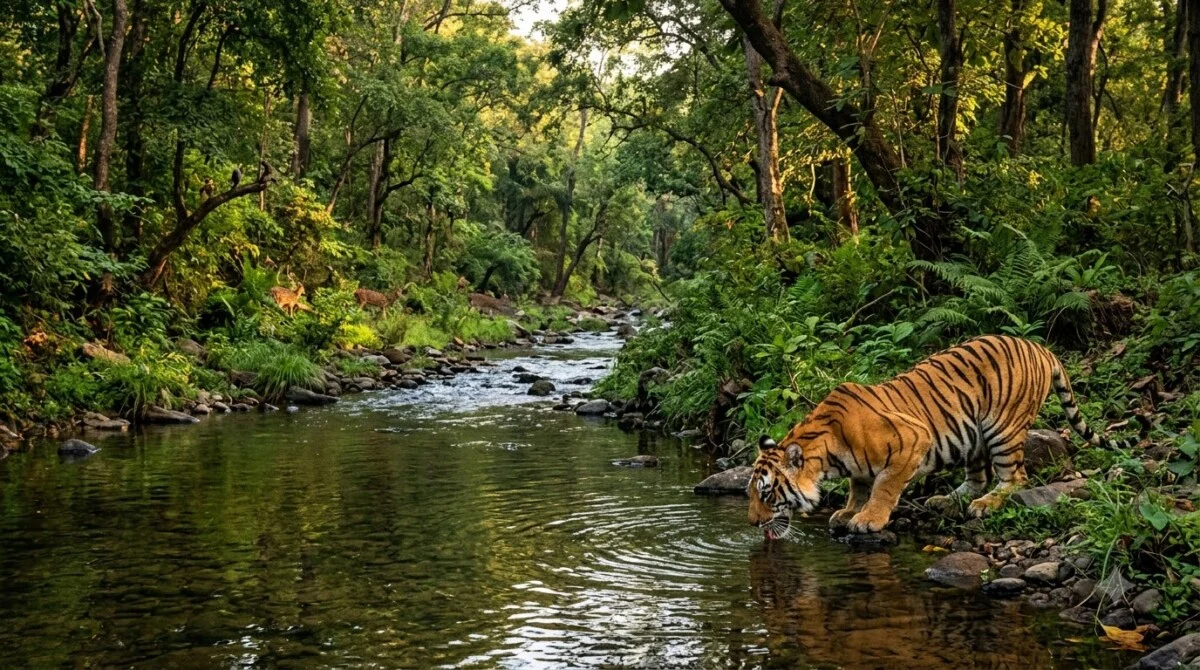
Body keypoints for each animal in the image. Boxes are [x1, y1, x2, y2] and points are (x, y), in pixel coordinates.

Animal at [747, 335, 1133, 538]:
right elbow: (859, 487)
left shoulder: (912, 439)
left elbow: (884, 486)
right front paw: (848, 511)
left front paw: (868, 519)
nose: (752, 523)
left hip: (1002, 428)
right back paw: (946, 500)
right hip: (973, 436)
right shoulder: (858, 469)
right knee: (977, 478)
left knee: (1015, 478)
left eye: (767, 494)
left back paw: (985, 504)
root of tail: (1040, 347)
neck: (828, 456)